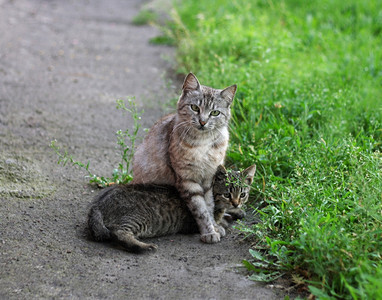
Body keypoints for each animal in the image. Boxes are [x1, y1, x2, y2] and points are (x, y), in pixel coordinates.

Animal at [86, 164, 254, 253]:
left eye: (243, 194)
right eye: (227, 194)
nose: (236, 203)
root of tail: (97, 205)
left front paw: (235, 212)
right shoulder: (192, 223)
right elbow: (215, 222)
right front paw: (221, 224)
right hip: (138, 217)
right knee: (119, 233)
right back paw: (144, 247)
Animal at [133, 72, 237, 244]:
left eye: (215, 113)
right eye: (194, 108)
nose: (203, 122)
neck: (203, 143)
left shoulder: (209, 178)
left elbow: (209, 205)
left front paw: (215, 226)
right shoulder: (187, 179)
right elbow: (201, 209)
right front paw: (209, 231)